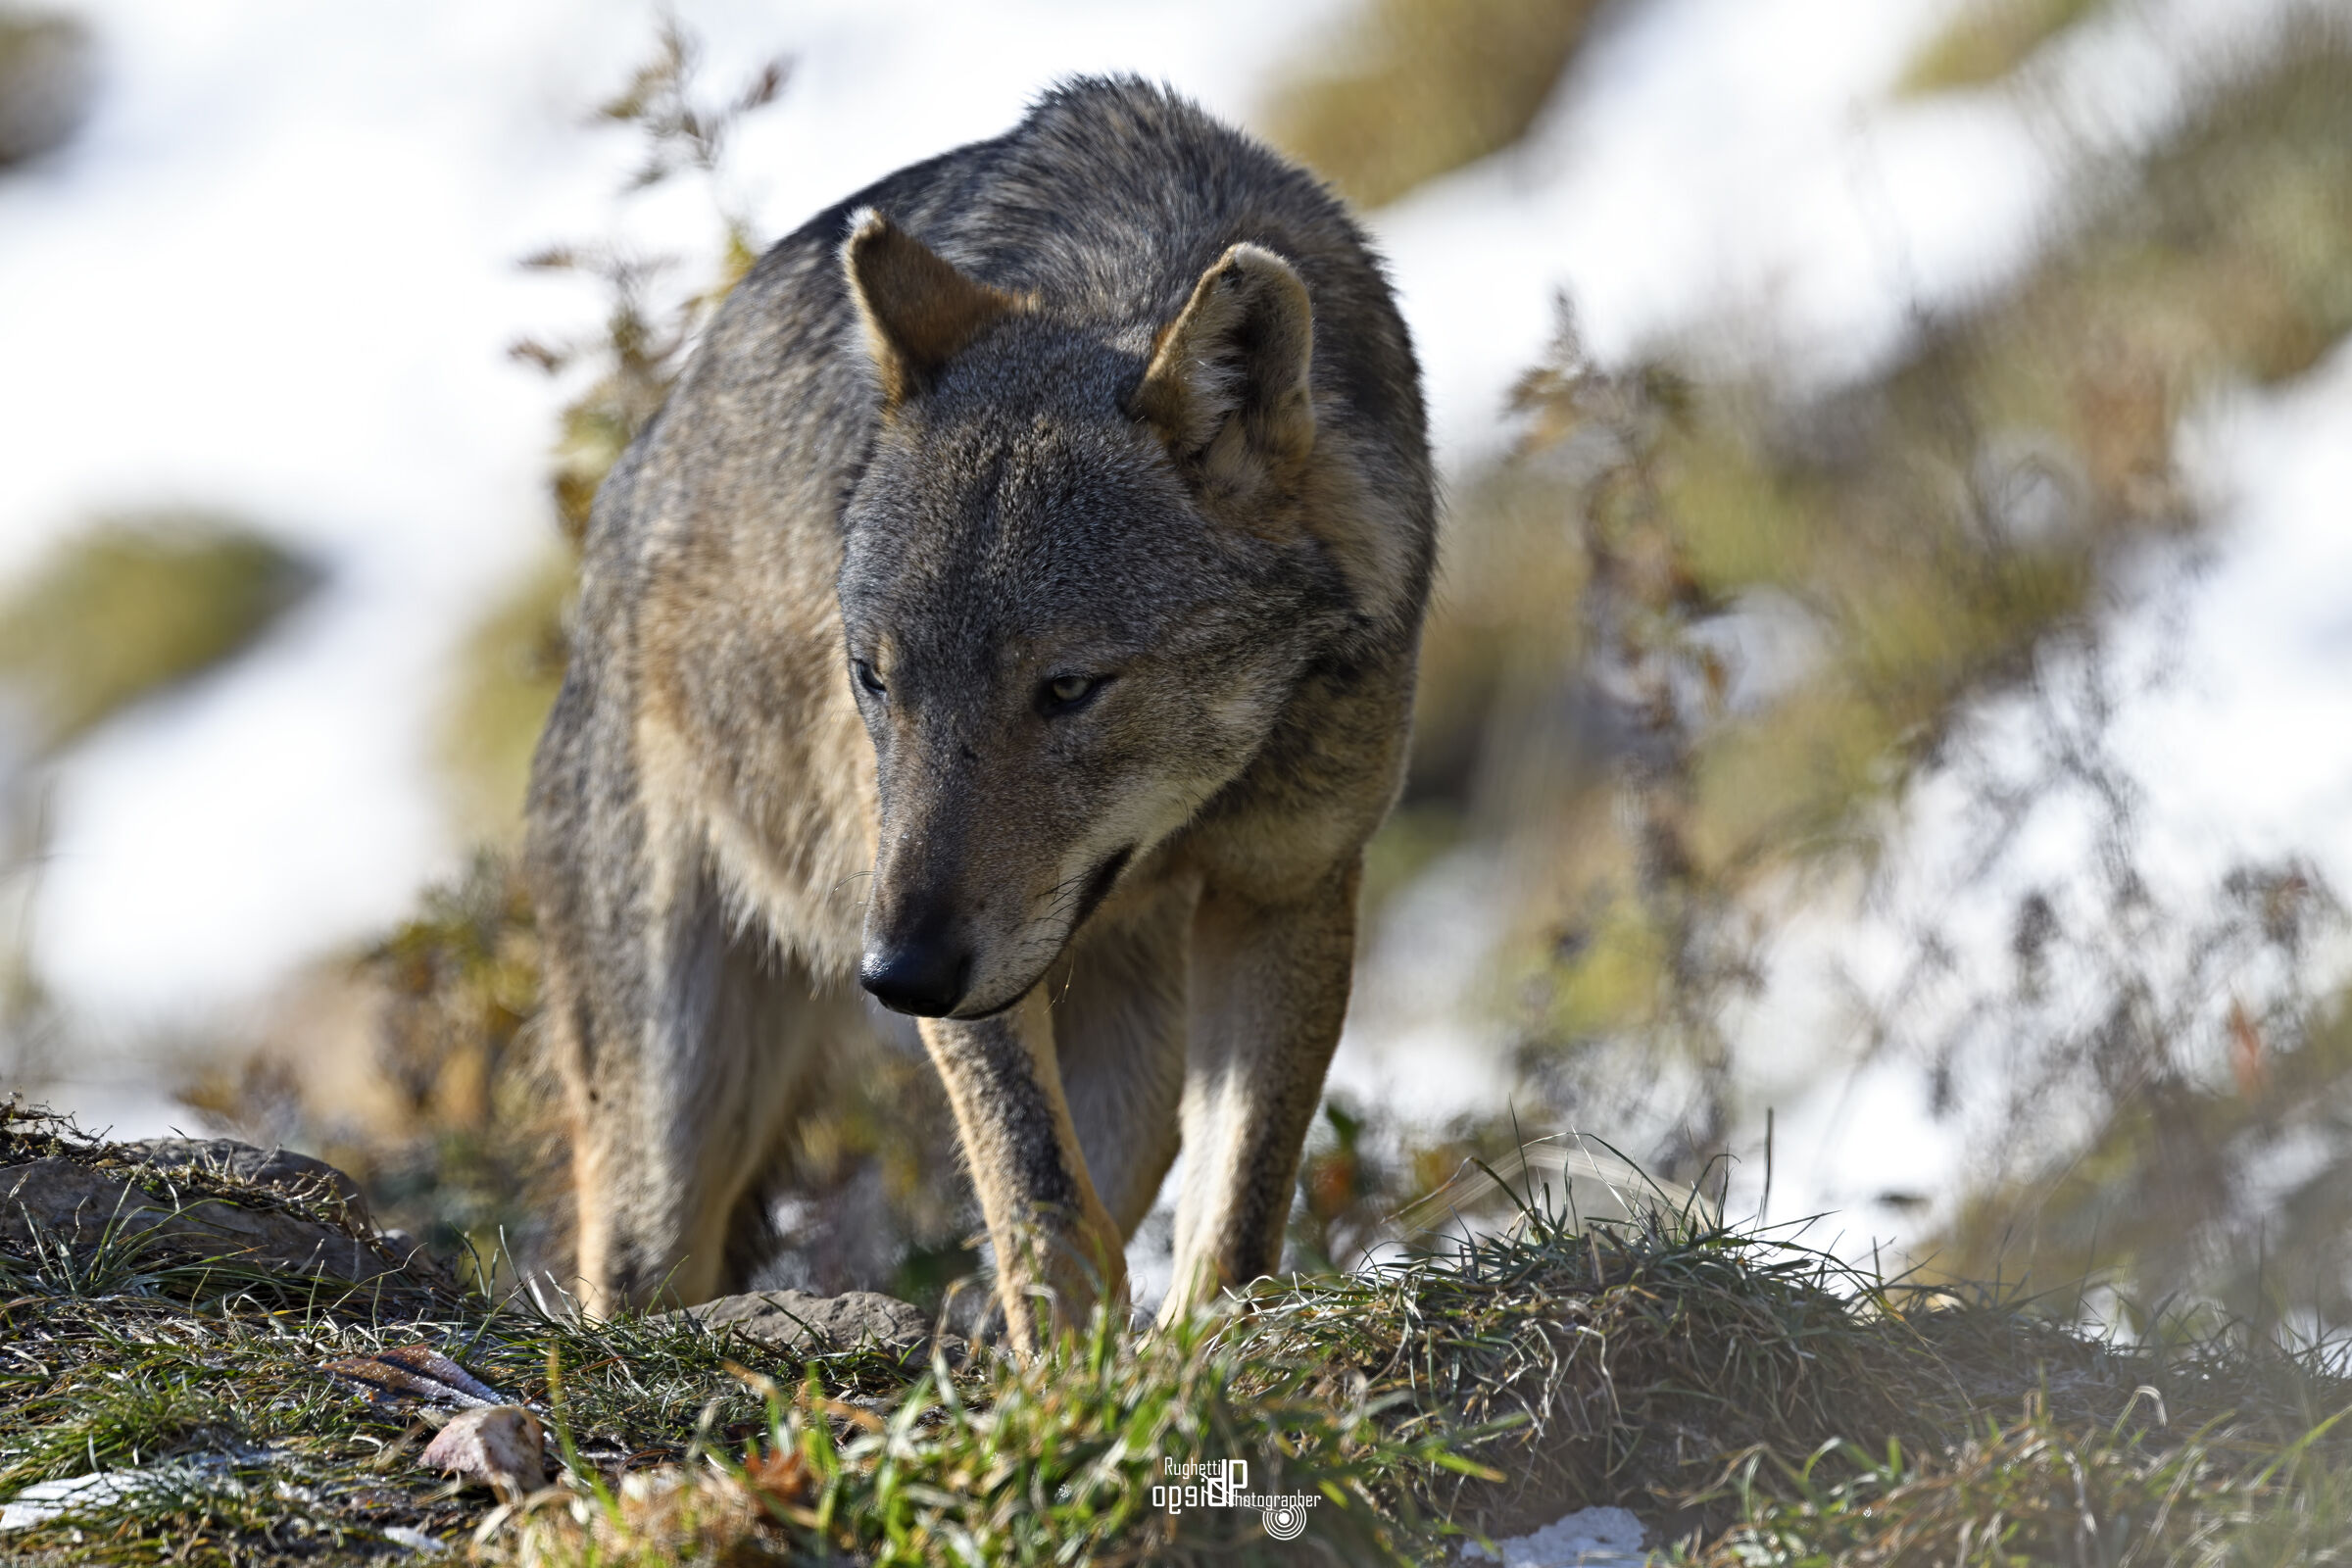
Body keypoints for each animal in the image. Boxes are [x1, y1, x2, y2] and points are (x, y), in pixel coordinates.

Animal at [525, 77, 1434, 1350]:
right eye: (875, 679)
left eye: (1067, 688)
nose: (896, 976)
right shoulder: (928, 916)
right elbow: (1036, 1193)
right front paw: (1063, 1366)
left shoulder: (1285, 888)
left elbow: (1237, 1205)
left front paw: (1198, 1348)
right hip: (676, 1098)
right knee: (640, 1265)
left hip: (1134, 1058)